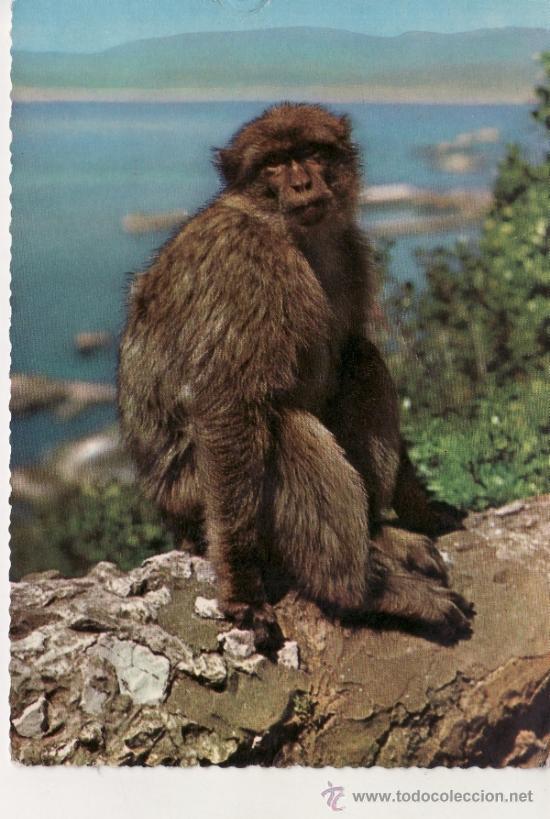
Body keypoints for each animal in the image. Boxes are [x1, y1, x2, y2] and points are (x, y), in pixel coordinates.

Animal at [118, 103, 473, 649]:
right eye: (273, 164)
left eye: (311, 152)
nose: (303, 183)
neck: (290, 236)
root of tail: (169, 513)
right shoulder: (243, 264)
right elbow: (228, 401)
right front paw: (244, 591)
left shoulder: (351, 250)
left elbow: (349, 348)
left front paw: (418, 506)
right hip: (195, 499)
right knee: (279, 422)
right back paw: (360, 589)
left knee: (360, 359)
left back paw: (376, 533)